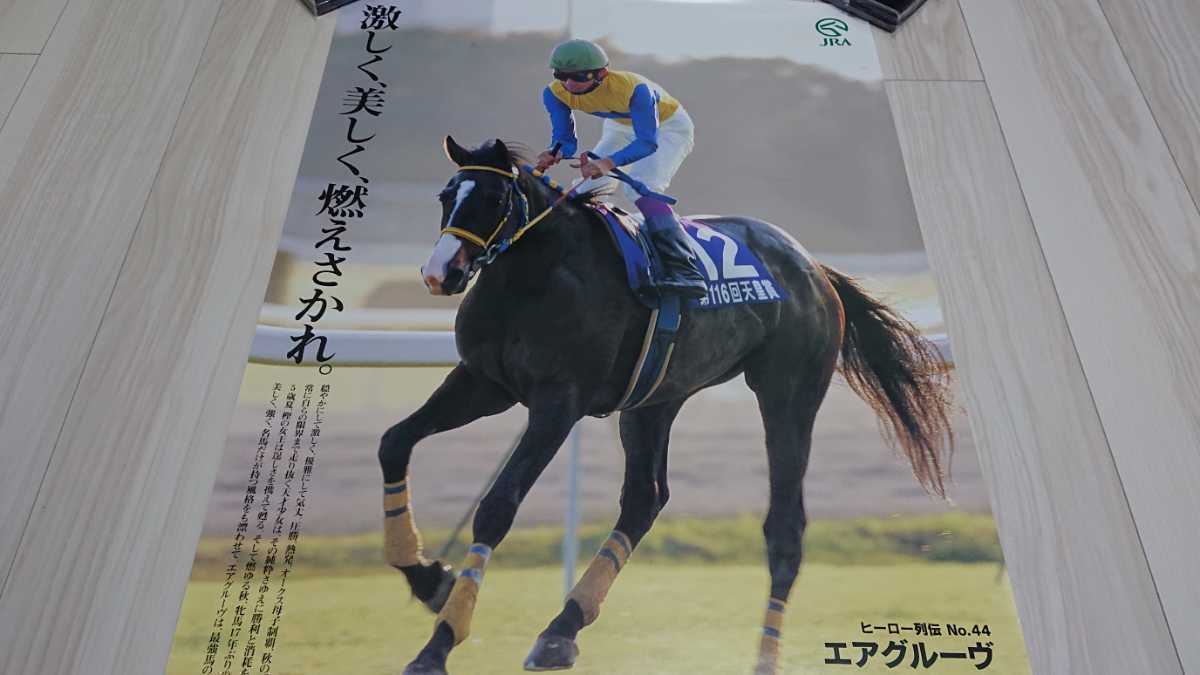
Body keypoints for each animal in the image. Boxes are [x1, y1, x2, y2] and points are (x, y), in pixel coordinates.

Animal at [378, 136, 955, 675]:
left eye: (494, 197)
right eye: (447, 196)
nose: (440, 273)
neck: (536, 278)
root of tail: (815, 267)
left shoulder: (559, 400)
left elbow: (497, 505)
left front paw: (438, 644)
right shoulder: (483, 383)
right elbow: (393, 442)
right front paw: (427, 578)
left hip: (788, 392)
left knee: (785, 529)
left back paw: (764, 656)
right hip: (655, 398)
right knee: (643, 499)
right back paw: (561, 631)